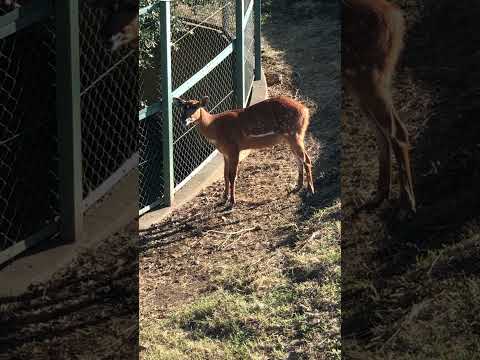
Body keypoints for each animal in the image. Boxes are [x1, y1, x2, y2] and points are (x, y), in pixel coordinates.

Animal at [173, 95, 316, 208]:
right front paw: (223, 199)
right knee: (299, 159)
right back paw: (297, 187)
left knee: (307, 160)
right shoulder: (225, 153)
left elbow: (232, 176)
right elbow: (225, 175)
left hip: (294, 134)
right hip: (290, 138)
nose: (184, 120)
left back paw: (310, 191)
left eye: (195, 107)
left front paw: (232, 202)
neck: (215, 128)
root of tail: (305, 110)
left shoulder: (234, 149)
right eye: (183, 107)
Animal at [342, 0, 416, 214]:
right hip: (362, 81)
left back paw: (406, 205)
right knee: (382, 133)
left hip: (367, 75)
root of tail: (396, 17)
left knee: (396, 132)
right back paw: (378, 197)